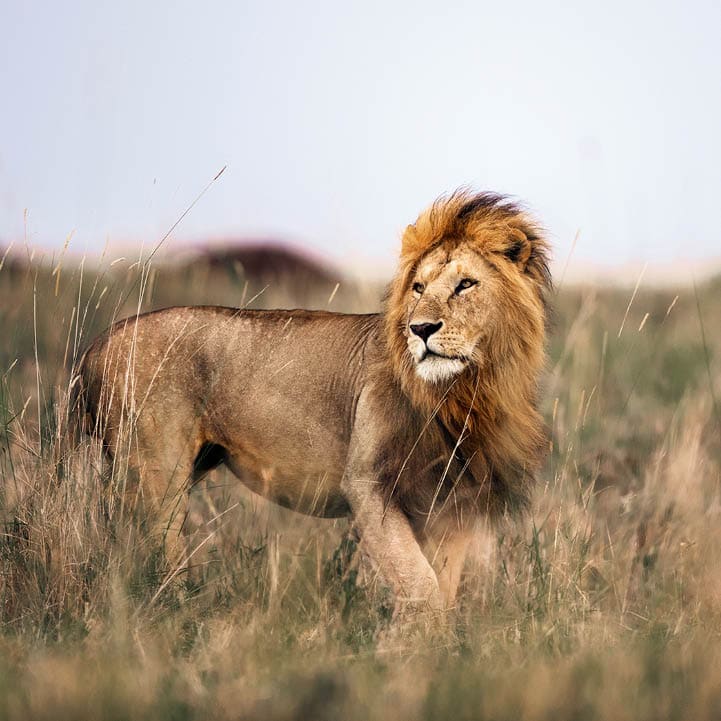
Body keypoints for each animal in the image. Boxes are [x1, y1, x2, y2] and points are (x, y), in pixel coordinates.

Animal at [76, 190, 551, 611]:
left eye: (465, 285)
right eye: (417, 288)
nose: (420, 329)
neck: (466, 392)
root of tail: (99, 343)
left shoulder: (454, 504)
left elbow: (442, 587)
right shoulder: (367, 484)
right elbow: (420, 583)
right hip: (157, 476)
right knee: (150, 554)